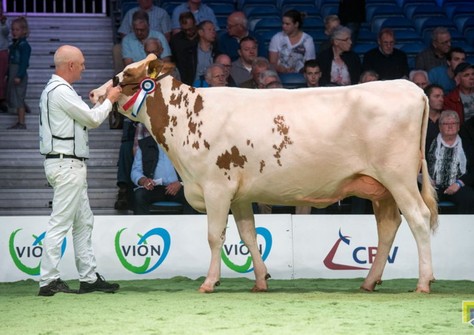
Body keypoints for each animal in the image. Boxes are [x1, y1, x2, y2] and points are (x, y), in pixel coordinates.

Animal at [90, 54, 438, 294]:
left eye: (123, 76)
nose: (93, 94)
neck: (187, 116)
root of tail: (408, 87)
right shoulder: (239, 193)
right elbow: (248, 236)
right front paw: (260, 280)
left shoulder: (216, 187)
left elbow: (215, 236)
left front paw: (210, 282)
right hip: (380, 187)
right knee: (388, 227)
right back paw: (369, 281)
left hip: (398, 177)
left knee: (419, 218)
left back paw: (423, 282)